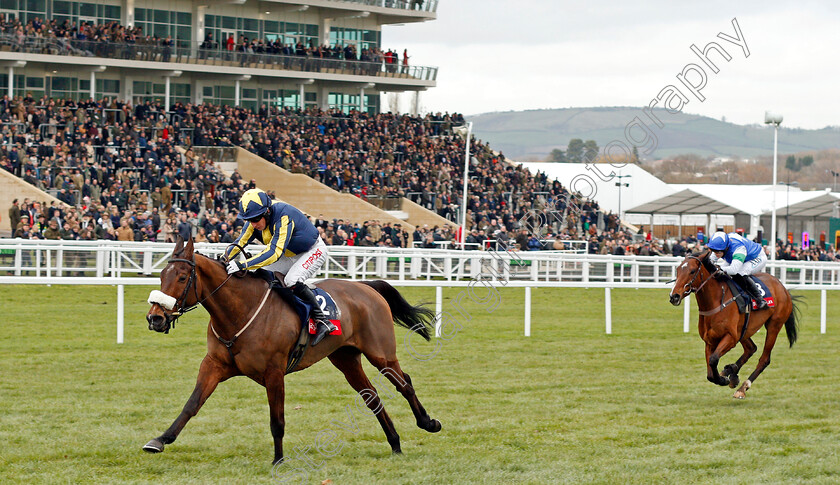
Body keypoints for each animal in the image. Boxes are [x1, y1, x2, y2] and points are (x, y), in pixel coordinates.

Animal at [141, 236, 442, 464]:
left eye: (182, 277)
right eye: (162, 275)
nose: (155, 318)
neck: (239, 312)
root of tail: (367, 287)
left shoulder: (274, 372)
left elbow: (277, 420)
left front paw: (278, 459)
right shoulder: (214, 364)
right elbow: (192, 404)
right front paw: (160, 439)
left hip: (381, 353)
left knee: (404, 384)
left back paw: (428, 423)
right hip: (346, 359)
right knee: (372, 396)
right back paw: (395, 443)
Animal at [668, 250, 800, 398]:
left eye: (692, 271)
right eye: (678, 270)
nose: (674, 296)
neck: (716, 302)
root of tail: (783, 288)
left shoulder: (730, 337)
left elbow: (713, 359)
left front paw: (724, 379)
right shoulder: (710, 341)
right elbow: (710, 372)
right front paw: (726, 375)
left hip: (774, 325)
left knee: (764, 359)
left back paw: (742, 387)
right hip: (744, 330)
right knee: (751, 348)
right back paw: (731, 371)